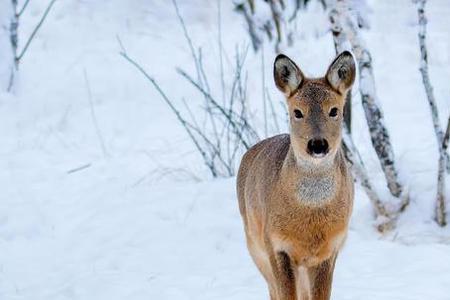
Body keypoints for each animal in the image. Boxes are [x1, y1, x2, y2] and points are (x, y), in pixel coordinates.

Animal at [237, 52, 356, 300]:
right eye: (297, 112)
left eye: (334, 110)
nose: (318, 144)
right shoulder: (275, 244)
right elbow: (285, 294)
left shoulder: (330, 250)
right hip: (255, 246)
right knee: (273, 290)